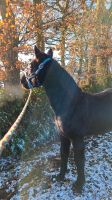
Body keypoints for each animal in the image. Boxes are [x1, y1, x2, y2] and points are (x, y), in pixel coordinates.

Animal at [20, 46, 112, 193]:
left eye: (30, 65)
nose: (22, 81)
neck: (70, 104)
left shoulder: (77, 139)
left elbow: (79, 162)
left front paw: (79, 185)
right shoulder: (63, 136)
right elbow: (64, 156)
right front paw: (60, 177)